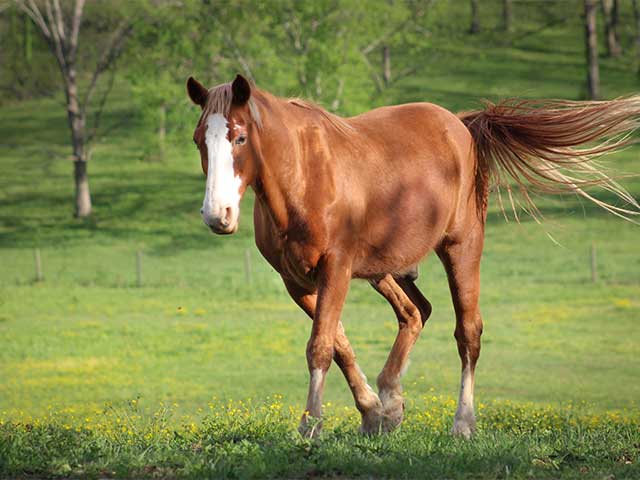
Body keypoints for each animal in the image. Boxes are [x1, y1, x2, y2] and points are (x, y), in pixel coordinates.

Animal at [188, 75, 636, 438]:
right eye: (198, 140)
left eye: (240, 137)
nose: (216, 214)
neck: (305, 176)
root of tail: (461, 126)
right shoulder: (297, 281)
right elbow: (339, 345)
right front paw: (371, 413)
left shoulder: (336, 269)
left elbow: (320, 346)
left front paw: (310, 426)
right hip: (387, 269)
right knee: (415, 312)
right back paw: (390, 400)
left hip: (461, 248)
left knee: (467, 333)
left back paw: (462, 423)